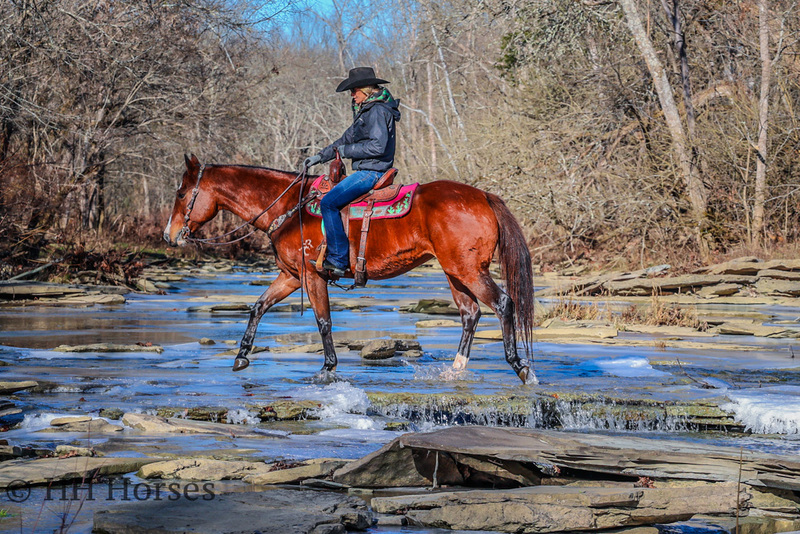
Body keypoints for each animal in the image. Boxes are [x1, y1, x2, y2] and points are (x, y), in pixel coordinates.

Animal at [162, 155, 536, 386]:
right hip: (455, 272)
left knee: (503, 304)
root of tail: (483, 196)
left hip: (468, 269)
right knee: (470, 314)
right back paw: (455, 370)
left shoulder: (311, 276)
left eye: (181, 193)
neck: (289, 208)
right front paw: (241, 356)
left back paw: (521, 367)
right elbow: (258, 306)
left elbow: (323, 322)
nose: (169, 235)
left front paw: (327, 369)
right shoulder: (290, 276)